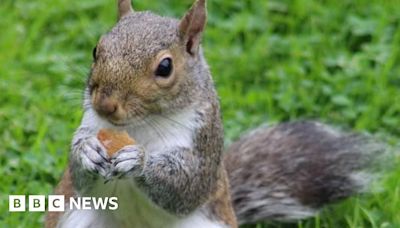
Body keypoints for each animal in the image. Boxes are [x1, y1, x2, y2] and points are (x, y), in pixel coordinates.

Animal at [46, 0, 384, 227]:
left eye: (165, 67)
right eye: (96, 49)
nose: (105, 104)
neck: (141, 125)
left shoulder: (205, 139)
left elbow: (188, 185)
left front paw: (139, 160)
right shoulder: (91, 127)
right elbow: (80, 178)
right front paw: (86, 151)